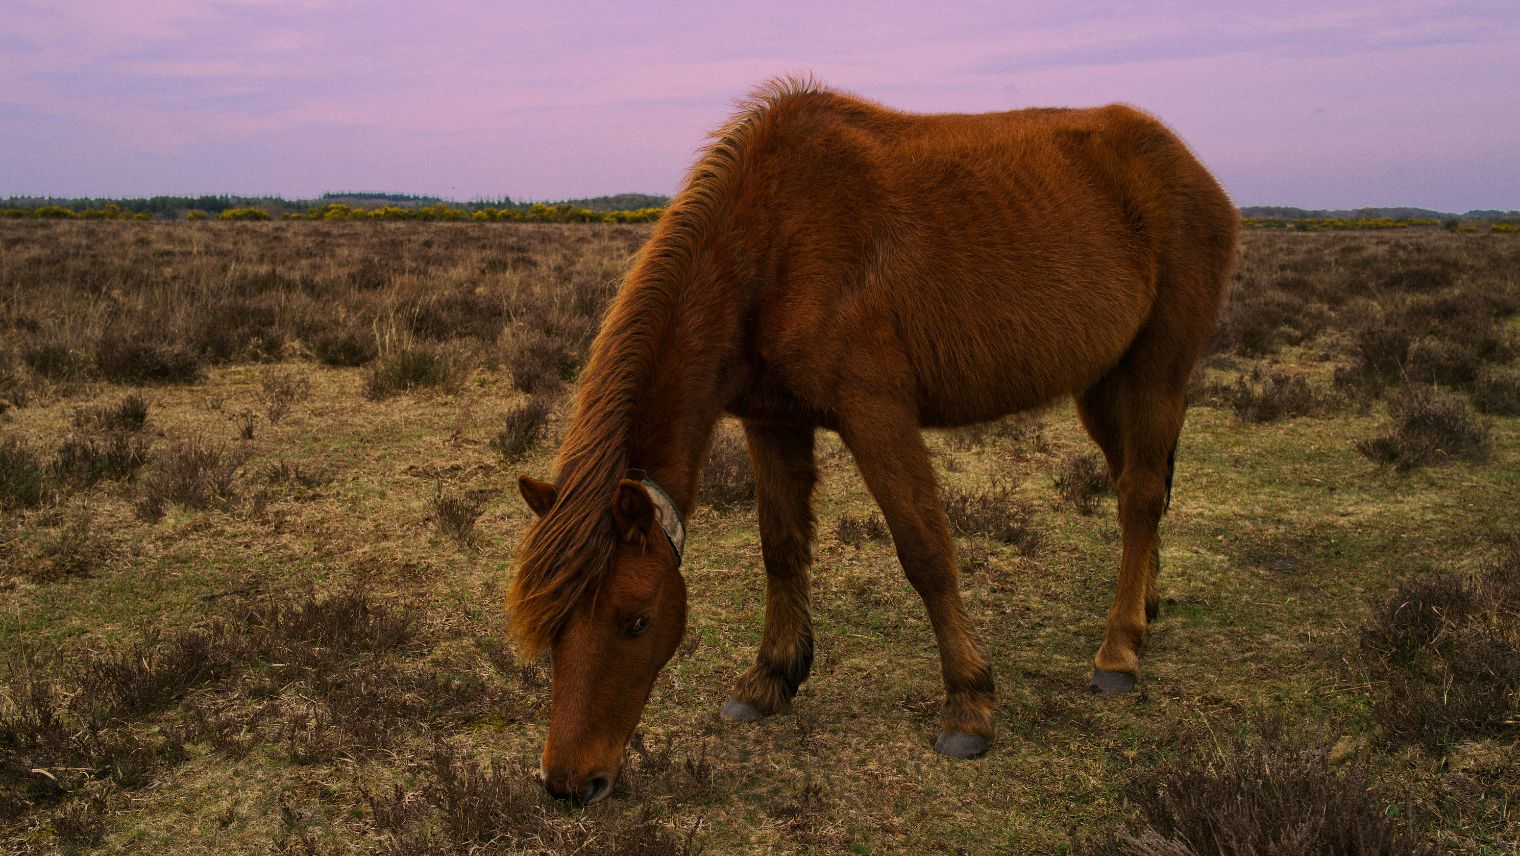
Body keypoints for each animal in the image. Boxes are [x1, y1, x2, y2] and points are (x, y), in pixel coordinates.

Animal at [510, 75, 1234, 802]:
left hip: (1157, 373)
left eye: (635, 618)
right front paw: (772, 677)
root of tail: (1191, 168)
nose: (568, 784)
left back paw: (1118, 651)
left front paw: (969, 705)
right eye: (554, 627)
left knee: (1140, 496)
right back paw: (1145, 611)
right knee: (1133, 486)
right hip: (1103, 385)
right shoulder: (772, 420)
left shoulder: (877, 414)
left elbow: (925, 552)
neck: (768, 242)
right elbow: (781, 546)